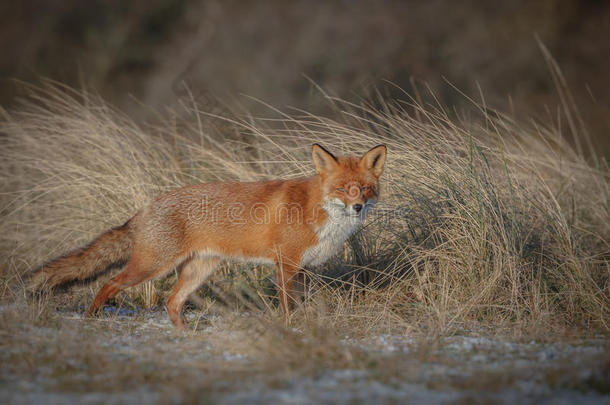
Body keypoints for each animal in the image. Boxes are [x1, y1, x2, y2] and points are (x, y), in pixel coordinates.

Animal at [28, 144, 384, 326]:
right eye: (342, 189)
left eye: (365, 188)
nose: (357, 207)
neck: (319, 212)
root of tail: (146, 207)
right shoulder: (286, 265)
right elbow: (288, 307)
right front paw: (291, 330)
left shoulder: (307, 268)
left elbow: (303, 305)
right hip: (151, 266)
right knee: (110, 283)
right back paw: (91, 319)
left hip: (199, 270)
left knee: (171, 302)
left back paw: (184, 336)